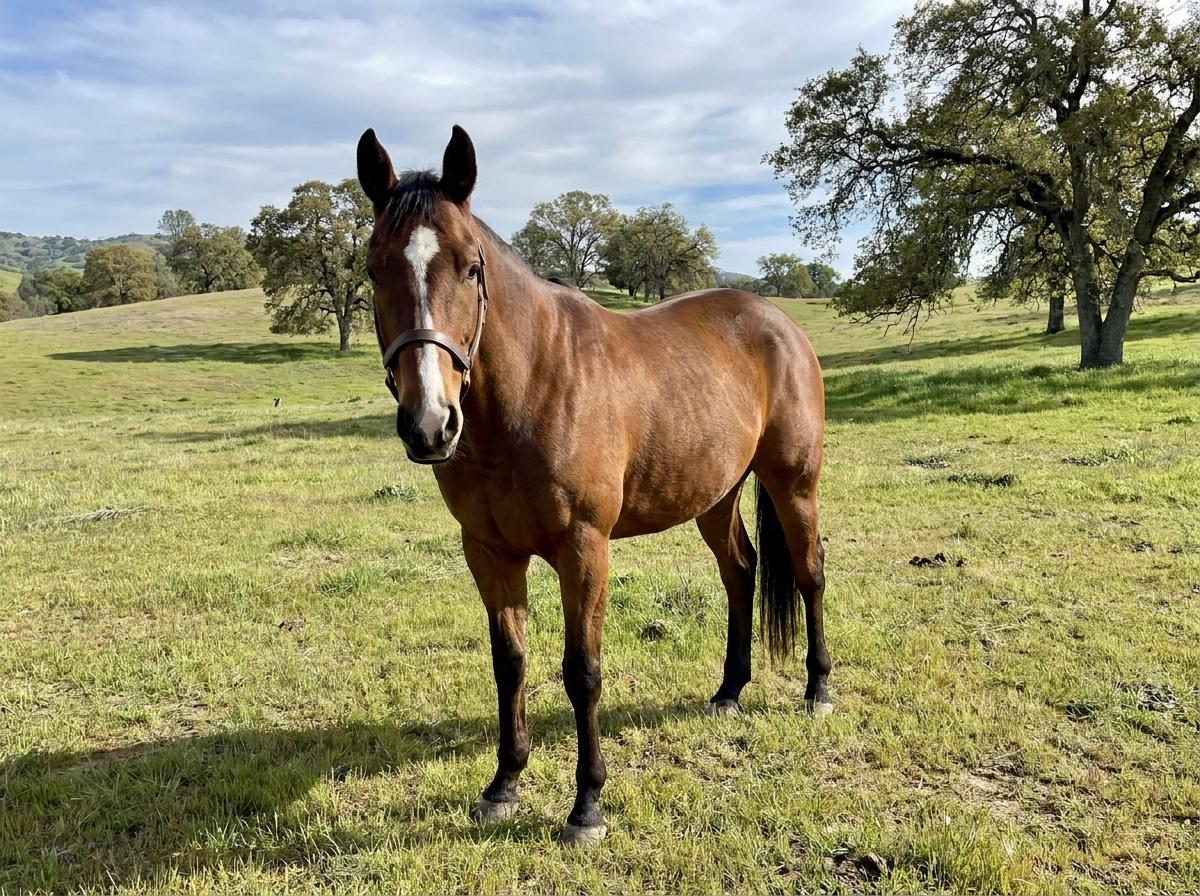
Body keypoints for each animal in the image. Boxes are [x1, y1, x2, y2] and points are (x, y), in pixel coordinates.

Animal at [357, 125, 831, 846]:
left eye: (471, 268)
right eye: (373, 267)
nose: (430, 423)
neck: (532, 388)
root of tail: (777, 322)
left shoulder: (584, 549)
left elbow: (582, 672)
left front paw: (586, 806)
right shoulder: (489, 552)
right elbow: (510, 663)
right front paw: (503, 785)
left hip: (792, 482)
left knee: (808, 573)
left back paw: (818, 690)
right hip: (715, 497)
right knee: (741, 572)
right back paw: (729, 691)